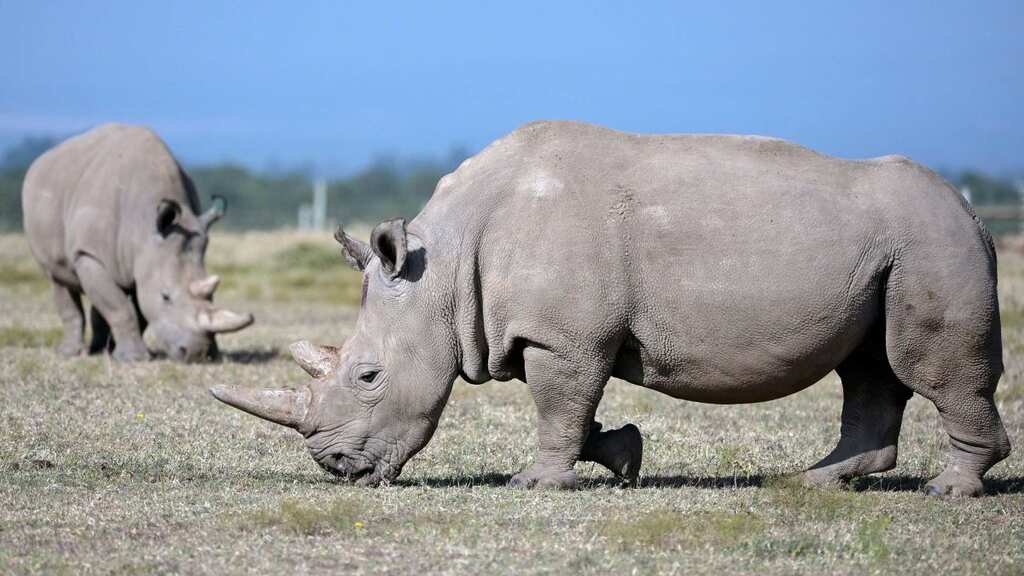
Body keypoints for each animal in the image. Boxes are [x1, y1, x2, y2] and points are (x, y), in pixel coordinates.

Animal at [22, 123, 253, 362]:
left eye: (212, 296)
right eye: (166, 297)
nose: (197, 354)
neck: (144, 229)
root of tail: (40, 161)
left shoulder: (147, 259)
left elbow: (138, 309)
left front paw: (127, 354)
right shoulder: (88, 254)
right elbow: (121, 307)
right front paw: (134, 359)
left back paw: (102, 350)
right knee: (58, 278)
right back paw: (71, 353)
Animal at [212, 121, 1009, 496]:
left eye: (369, 377)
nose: (336, 468)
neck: (442, 269)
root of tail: (974, 212)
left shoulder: (562, 336)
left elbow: (556, 404)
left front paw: (536, 484)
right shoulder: (558, 333)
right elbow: (575, 409)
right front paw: (623, 456)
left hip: (930, 242)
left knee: (923, 366)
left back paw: (949, 490)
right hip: (892, 251)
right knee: (869, 369)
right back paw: (812, 481)